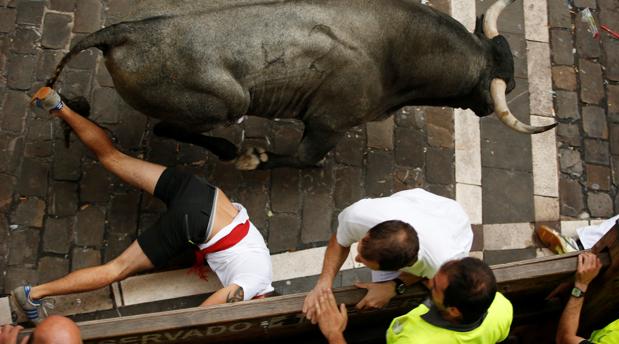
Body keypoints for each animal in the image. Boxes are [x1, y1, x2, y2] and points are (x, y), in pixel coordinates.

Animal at [46, 0, 556, 170]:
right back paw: (230, 151)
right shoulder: (328, 123)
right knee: (168, 129)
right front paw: (254, 159)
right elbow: (304, 160)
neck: (396, 48)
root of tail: (121, 31)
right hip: (227, 104)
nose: (512, 86)